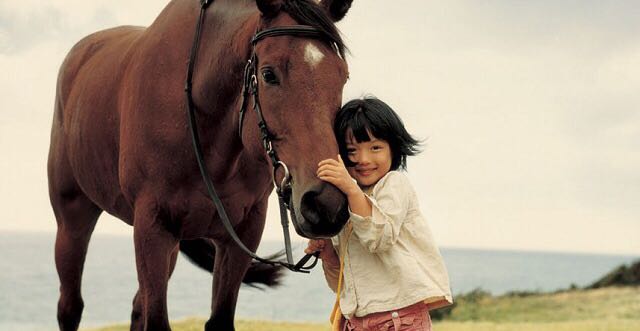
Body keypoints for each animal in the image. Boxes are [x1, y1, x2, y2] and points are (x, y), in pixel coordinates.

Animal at [47, 0, 352, 330]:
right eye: (269, 74)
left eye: (342, 76)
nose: (326, 203)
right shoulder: (152, 227)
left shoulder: (243, 231)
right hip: (73, 220)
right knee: (70, 305)